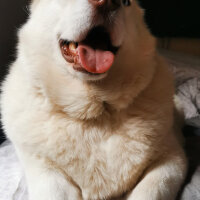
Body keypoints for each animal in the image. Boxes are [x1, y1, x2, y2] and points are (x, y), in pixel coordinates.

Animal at [0, 0, 187, 200]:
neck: (96, 112)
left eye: (126, 3)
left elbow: (150, 191)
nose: (108, 2)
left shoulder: (172, 158)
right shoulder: (43, 167)